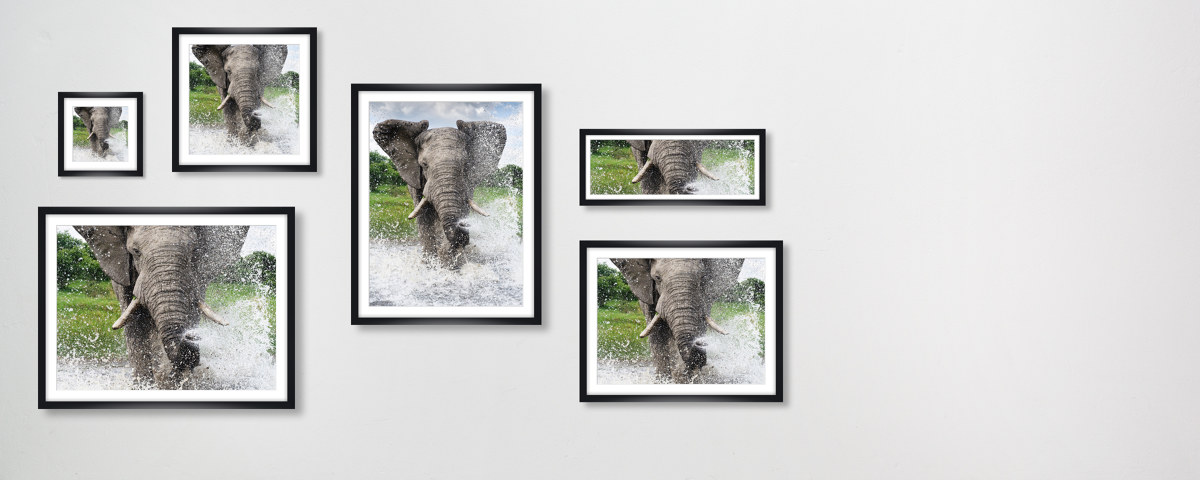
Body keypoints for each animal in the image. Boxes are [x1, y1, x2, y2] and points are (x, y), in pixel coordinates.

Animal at [74, 225, 249, 387]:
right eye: (136, 251)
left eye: (194, 250)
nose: (190, 337)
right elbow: (133, 324)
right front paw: (144, 386)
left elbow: (192, 313)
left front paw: (180, 384)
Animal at [372, 119, 507, 268]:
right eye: (424, 165)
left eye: (465, 165)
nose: (463, 232)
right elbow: (423, 216)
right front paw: (430, 264)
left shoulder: (468, 184)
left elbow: (463, 209)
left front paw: (451, 262)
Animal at [612, 257, 744, 382]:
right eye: (657, 278)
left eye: (702, 277)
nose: (698, 346)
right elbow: (656, 333)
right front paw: (664, 381)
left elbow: (701, 325)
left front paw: (689, 379)